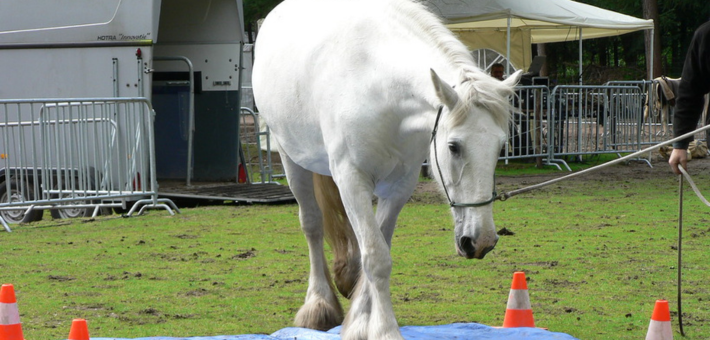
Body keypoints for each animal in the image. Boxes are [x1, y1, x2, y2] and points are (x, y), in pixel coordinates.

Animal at [253, 1, 520, 338]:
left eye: (501, 147)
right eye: (453, 147)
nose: (481, 241)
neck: (380, 88)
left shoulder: (399, 187)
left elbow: (380, 248)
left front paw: (361, 321)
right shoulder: (352, 180)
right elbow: (377, 257)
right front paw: (384, 330)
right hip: (292, 159)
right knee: (312, 225)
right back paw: (318, 305)